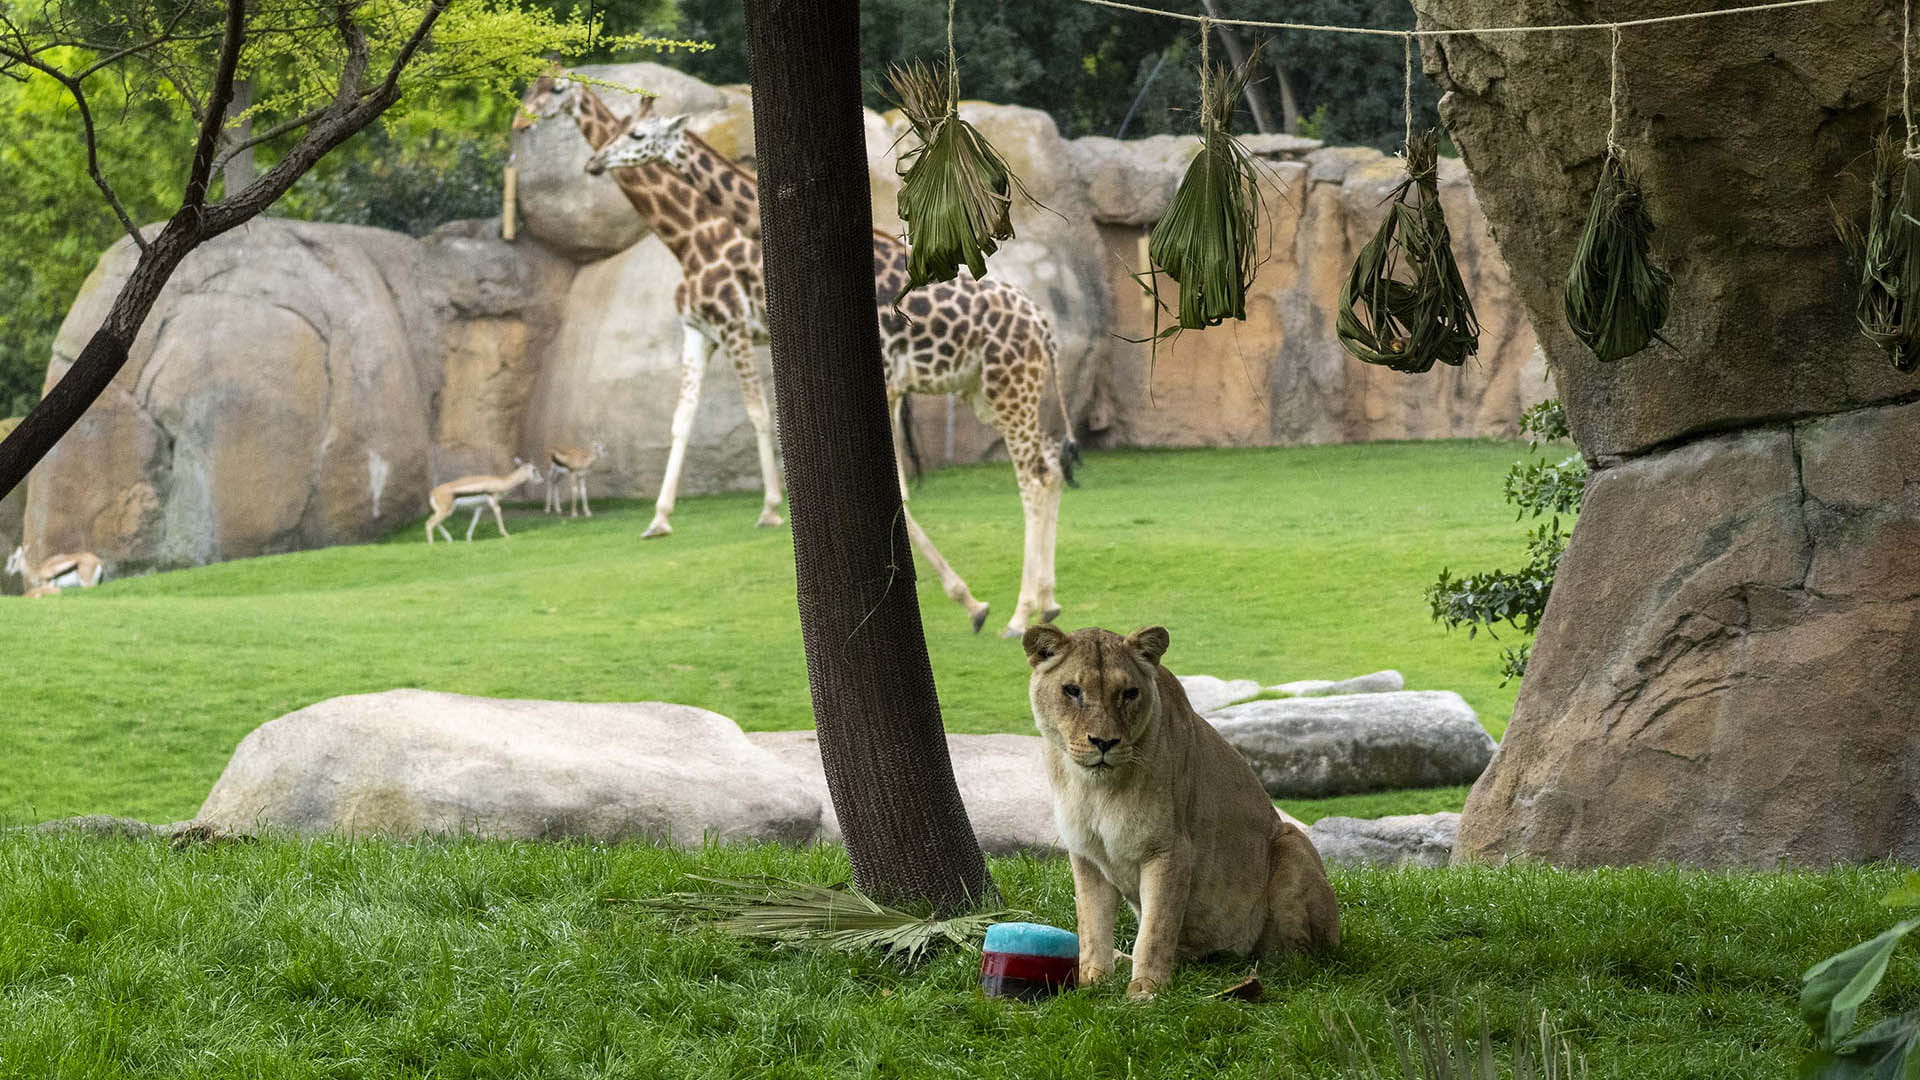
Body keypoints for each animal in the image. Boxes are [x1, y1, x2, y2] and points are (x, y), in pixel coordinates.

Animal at [1024, 623, 1339, 1000]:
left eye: (1129, 693)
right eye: (1072, 690)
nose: (1104, 743)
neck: (1094, 789)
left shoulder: (1170, 850)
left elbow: (1155, 929)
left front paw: (1146, 989)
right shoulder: (1086, 856)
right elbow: (1092, 925)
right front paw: (1093, 981)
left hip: (1290, 842)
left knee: (1301, 960)